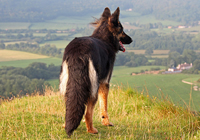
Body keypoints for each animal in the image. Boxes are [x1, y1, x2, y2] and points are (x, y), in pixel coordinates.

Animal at [58, 7, 132, 136]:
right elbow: (104, 106)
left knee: (70, 105)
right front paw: (106, 122)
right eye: (122, 30)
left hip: (67, 84)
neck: (104, 38)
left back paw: (66, 124)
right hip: (93, 88)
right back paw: (91, 130)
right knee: (88, 113)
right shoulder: (104, 83)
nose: (131, 39)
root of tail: (78, 52)